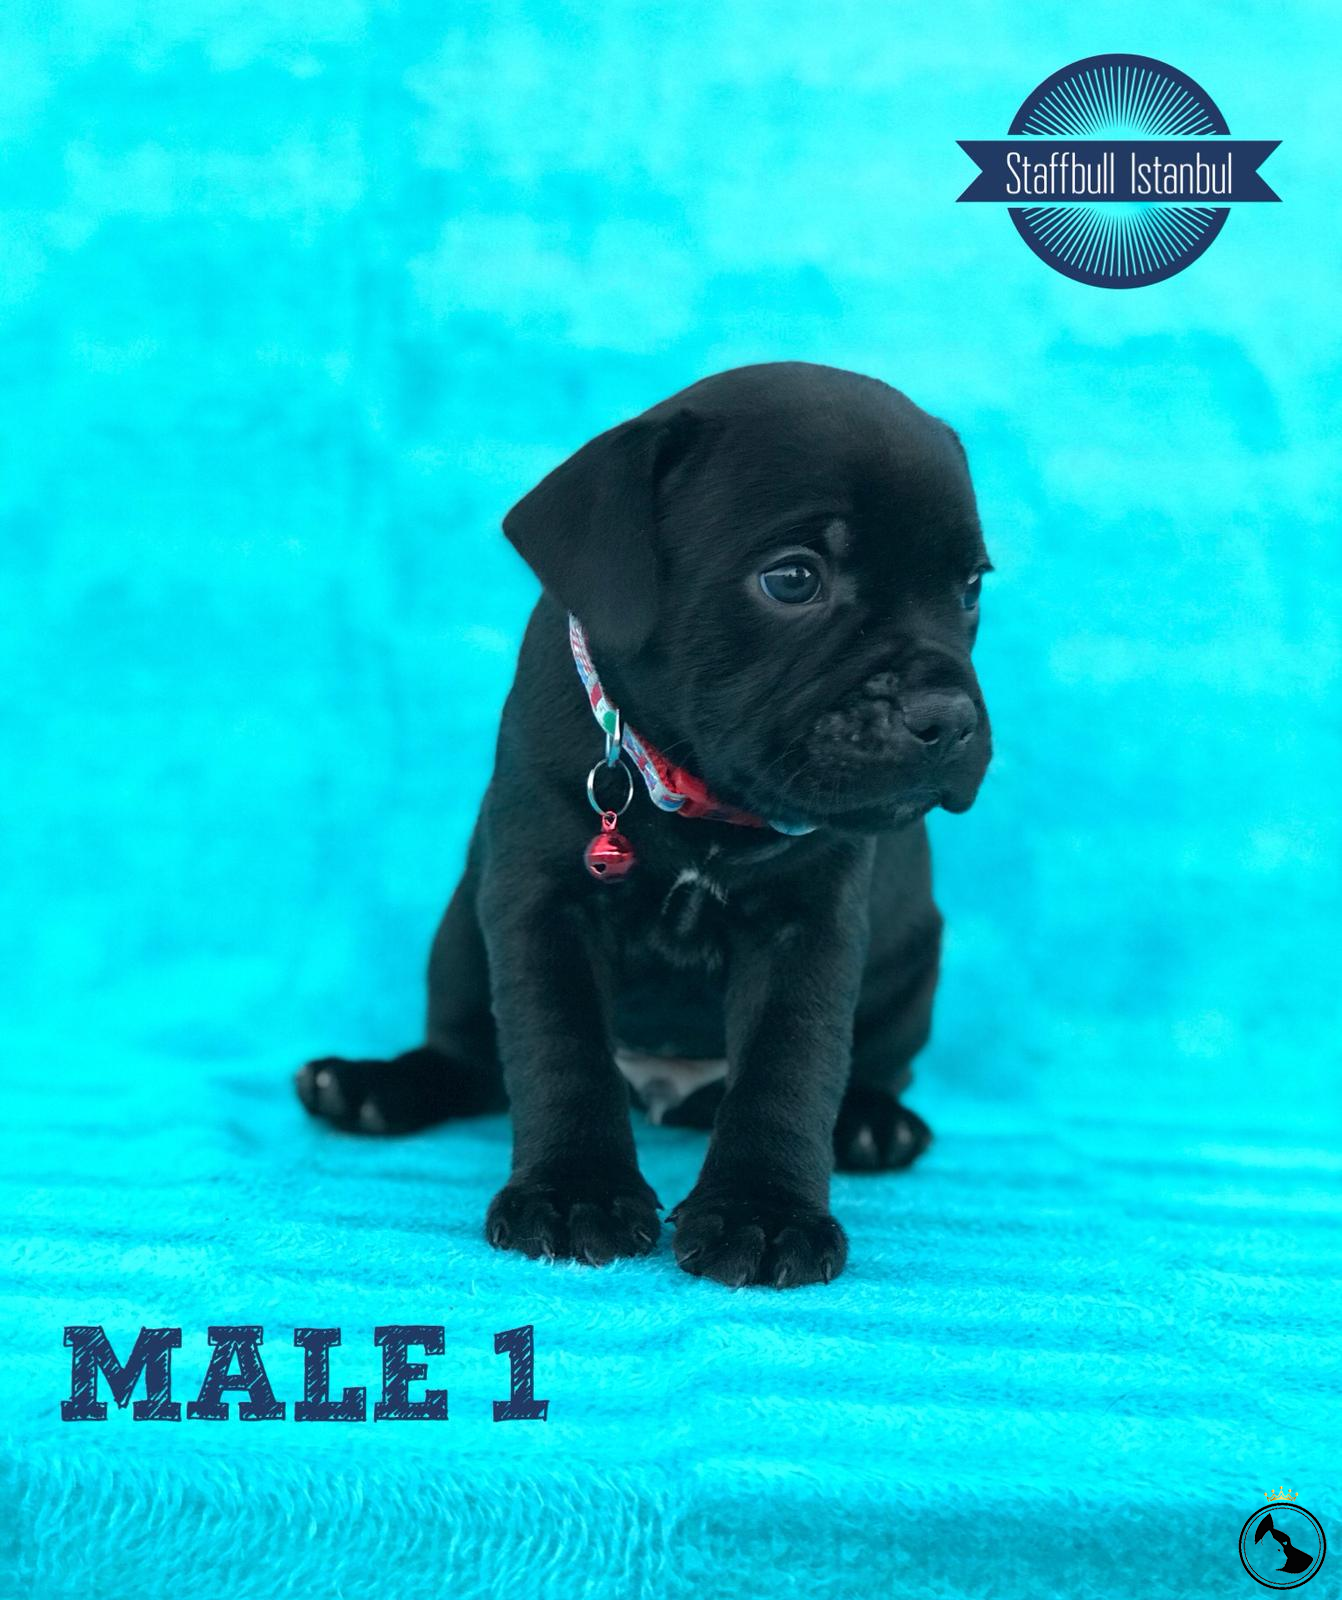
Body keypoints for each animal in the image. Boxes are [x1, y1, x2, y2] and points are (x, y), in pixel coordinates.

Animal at [296, 362, 993, 1288]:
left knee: (871, 1065)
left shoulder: (809, 923)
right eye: (793, 579)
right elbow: (560, 1052)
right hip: (458, 940)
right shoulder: (541, 903)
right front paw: (573, 1193)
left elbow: (791, 1065)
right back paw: (370, 1087)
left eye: (970, 589)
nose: (947, 717)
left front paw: (763, 1212)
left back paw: (872, 1123)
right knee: (470, 1059)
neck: (695, 793)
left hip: (911, 966)